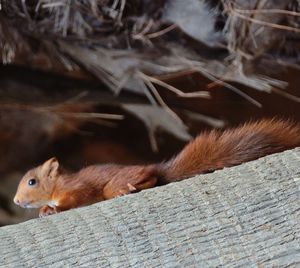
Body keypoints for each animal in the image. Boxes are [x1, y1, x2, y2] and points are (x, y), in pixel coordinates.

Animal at [13, 118, 300, 217]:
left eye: (32, 181)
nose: (15, 201)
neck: (57, 185)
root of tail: (156, 166)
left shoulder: (75, 188)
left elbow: (73, 199)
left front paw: (52, 208)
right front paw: (44, 209)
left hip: (116, 183)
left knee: (150, 177)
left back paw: (130, 188)